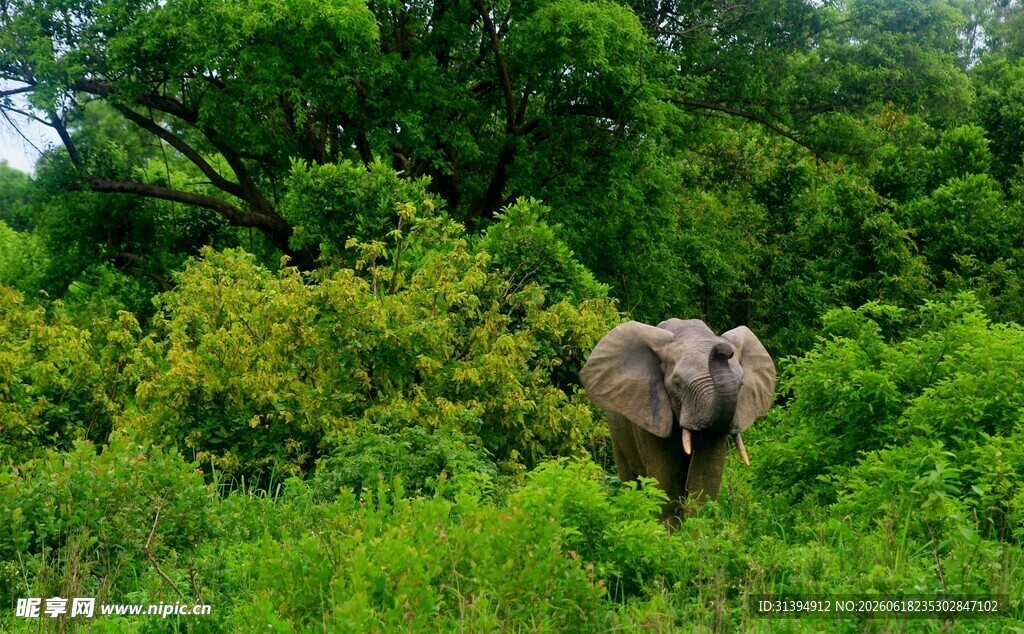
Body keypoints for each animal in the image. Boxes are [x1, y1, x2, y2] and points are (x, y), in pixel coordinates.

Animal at [580, 318, 776, 520]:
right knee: (631, 480)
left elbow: (704, 479)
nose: (724, 350)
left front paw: (697, 528)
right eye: (677, 384)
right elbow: (667, 482)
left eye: (741, 384)